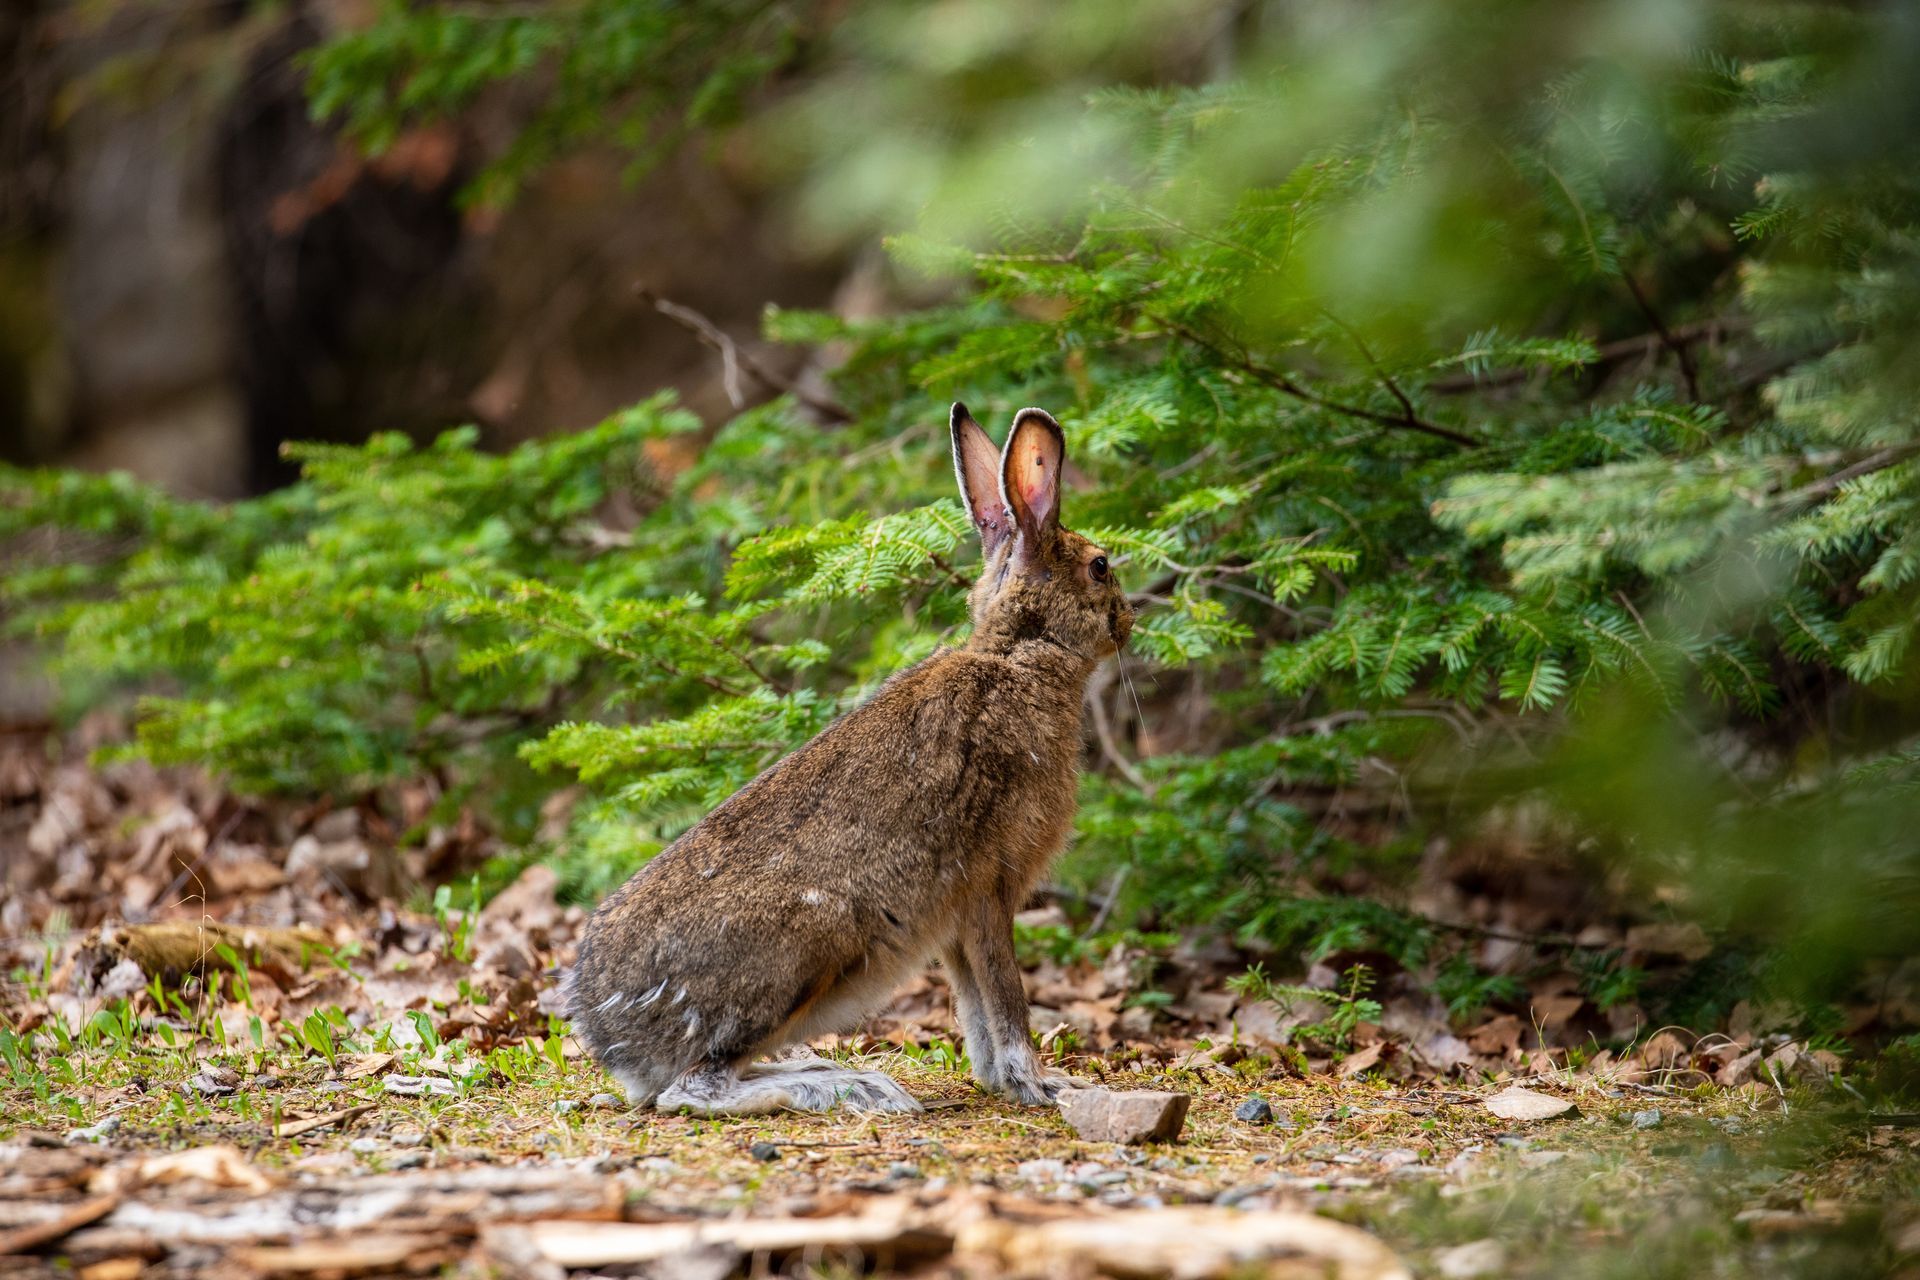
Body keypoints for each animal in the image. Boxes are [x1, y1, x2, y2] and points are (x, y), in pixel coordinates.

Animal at [568, 402, 1128, 1113]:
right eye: (1100, 567)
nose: (1129, 619)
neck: (1018, 654)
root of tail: (610, 1037)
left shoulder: (953, 920)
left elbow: (975, 1013)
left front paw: (1005, 1084)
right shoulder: (988, 887)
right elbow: (1006, 1002)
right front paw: (1044, 1086)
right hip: (811, 937)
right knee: (695, 1088)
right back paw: (853, 1084)